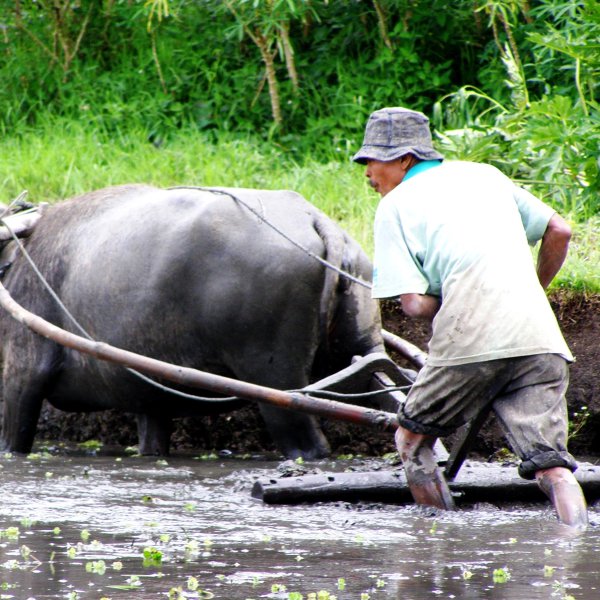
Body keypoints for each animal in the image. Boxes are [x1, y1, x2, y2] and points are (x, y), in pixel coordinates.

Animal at [0, 183, 384, 454]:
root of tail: (315, 218)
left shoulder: (21, 375)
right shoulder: (150, 401)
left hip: (276, 379)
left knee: (306, 441)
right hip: (362, 338)